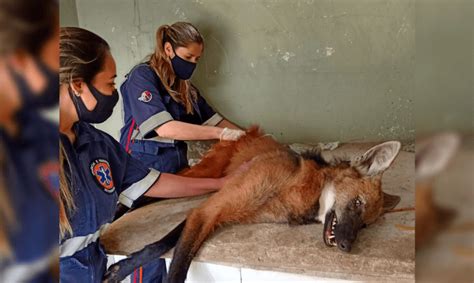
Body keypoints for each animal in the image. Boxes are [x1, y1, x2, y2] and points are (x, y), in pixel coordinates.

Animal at [103, 127, 400, 282]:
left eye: (365, 225)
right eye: (357, 203)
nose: (347, 246)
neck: (301, 189)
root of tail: (249, 132)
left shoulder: (215, 210)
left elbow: (170, 240)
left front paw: (119, 268)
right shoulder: (212, 208)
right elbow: (173, 258)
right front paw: (120, 269)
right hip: (205, 174)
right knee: (153, 187)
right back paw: (117, 210)